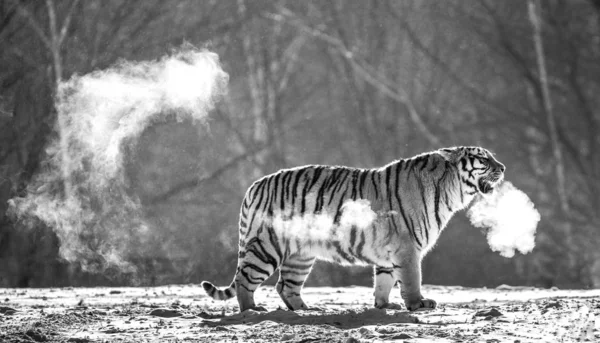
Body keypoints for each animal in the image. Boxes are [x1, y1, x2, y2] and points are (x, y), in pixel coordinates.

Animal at [202, 146, 506, 314]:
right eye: (483, 159)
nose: (503, 167)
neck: (451, 190)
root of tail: (255, 185)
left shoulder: (390, 251)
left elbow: (384, 281)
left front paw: (384, 306)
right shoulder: (408, 248)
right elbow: (411, 279)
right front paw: (418, 304)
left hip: (300, 255)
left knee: (285, 285)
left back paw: (306, 310)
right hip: (267, 245)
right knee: (245, 280)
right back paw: (252, 310)